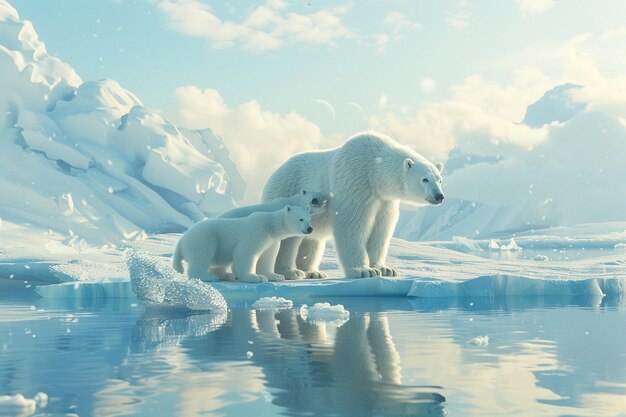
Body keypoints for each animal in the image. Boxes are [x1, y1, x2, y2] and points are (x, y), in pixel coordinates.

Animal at [172, 205, 312, 282]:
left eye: (309, 218)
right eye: (301, 219)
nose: (310, 229)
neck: (270, 226)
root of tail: (182, 239)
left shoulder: (271, 241)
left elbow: (267, 257)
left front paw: (276, 276)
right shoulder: (256, 232)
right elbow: (245, 252)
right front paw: (255, 277)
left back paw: (226, 275)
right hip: (204, 237)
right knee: (203, 254)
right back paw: (208, 276)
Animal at [260, 132, 442, 278]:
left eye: (439, 179)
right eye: (425, 179)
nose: (439, 196)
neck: (374, 168)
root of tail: (274, 173)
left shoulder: (384, 200)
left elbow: (381, 229)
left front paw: (386, 269)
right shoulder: (356, 180)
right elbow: (352, 224)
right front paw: (364, 270)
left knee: (313, 240)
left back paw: (313, 272)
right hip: (286, 191)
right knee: (288, 239)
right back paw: (290, 272)